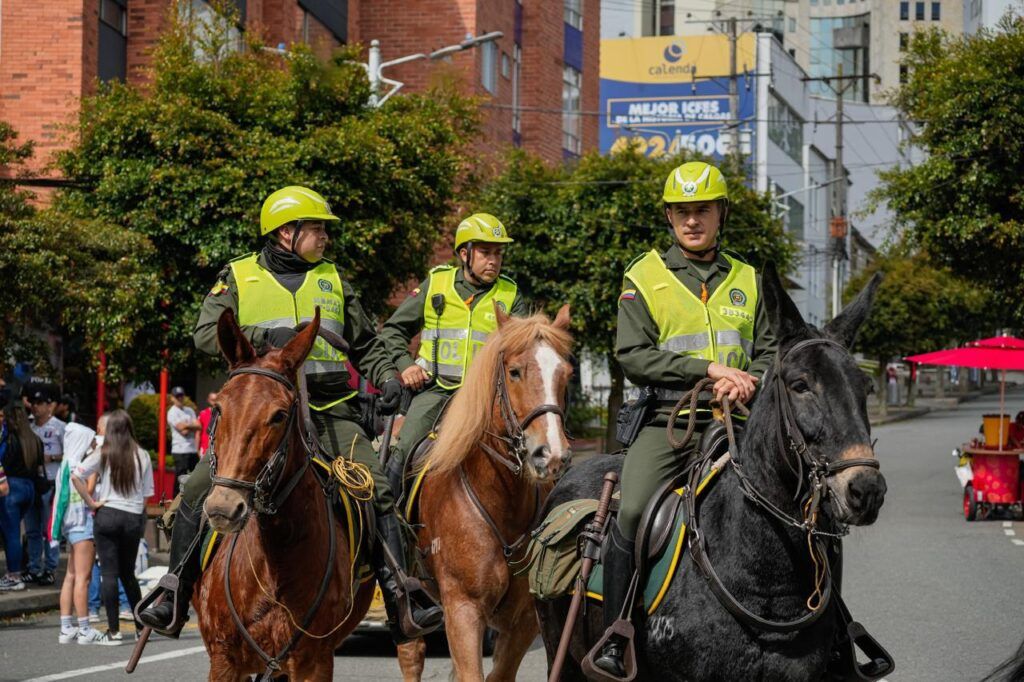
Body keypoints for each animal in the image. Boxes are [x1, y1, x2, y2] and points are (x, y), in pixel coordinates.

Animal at [193, 309, 374, 679]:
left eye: (278, 415)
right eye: (219, 409)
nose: (223, 508)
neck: (275, 559)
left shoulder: (313, 663)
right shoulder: (224, 660)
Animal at [395, 303, 577, 679]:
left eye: (566, 374)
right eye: (515, 372)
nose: (551, 455)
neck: (500, 500)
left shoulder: (523, 621)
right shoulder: (463, 611)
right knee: (411, 653)